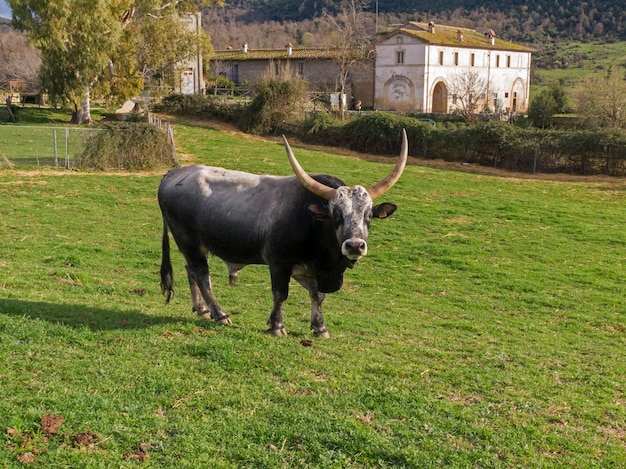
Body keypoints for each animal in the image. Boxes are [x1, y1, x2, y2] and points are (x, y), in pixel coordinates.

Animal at [158, 132, 408, 336]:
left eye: (368, 215)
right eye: (336, 214)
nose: (355, 245)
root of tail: (173, 173)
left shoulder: (310, 269)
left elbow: (318, 295)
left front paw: (319, 327)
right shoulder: (279, 263)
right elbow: (280, 294)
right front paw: (277, 326)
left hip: (196, 246)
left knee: (191, 270)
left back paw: (201, 309)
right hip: (188, 241)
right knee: (202, 275)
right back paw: (220, 314)